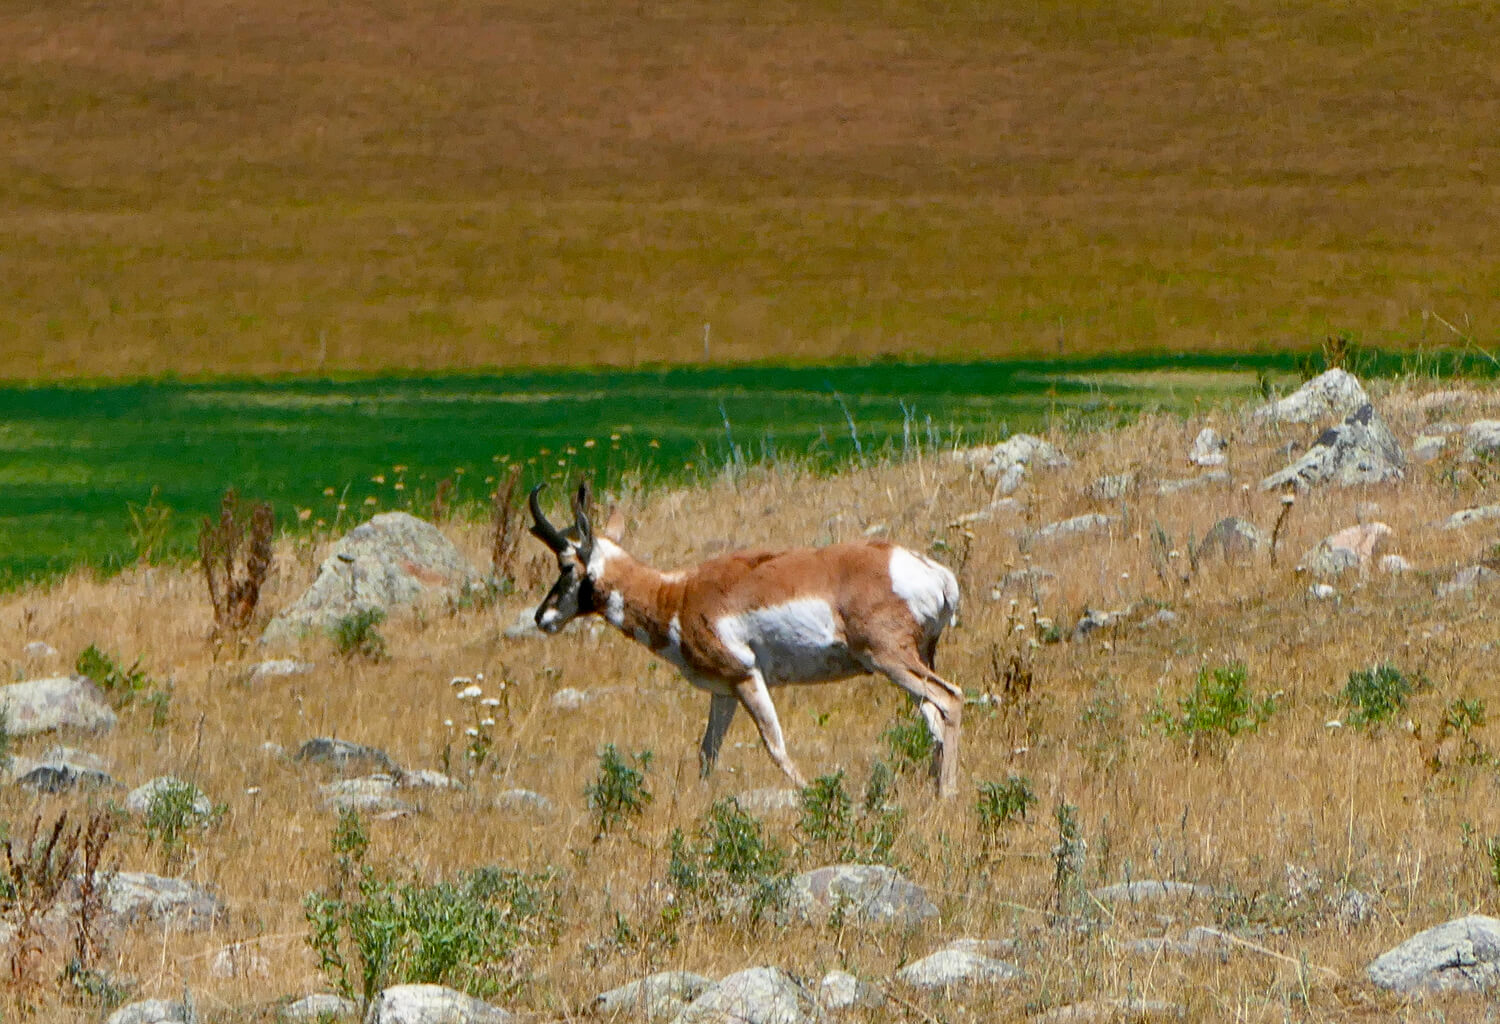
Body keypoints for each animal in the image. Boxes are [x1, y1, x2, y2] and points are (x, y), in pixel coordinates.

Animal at [527, 481, 965, 798]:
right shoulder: (723, 692)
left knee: (950, 698)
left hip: (889, 659)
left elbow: (775, 746)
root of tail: (932, 572)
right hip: (913, 662)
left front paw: (812, 793)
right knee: (933, 718)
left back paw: (946, 794)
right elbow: (707, 752)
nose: (541, 617)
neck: (678, 595)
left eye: (566, 565)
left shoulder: (745, 676)